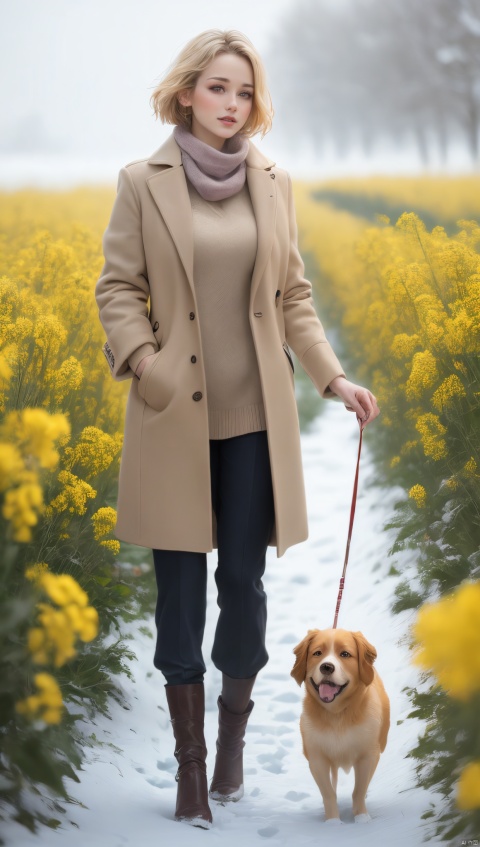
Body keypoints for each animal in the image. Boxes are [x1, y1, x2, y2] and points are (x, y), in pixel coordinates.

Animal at [288, 628, 390, 820]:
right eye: (317, 653)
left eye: (345, 654)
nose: (327, 666)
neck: (337, 715)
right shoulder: (317, 758)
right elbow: (328, 793)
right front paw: (333, 821)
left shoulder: (368, 755)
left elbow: (359, 790)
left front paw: (362, 818)